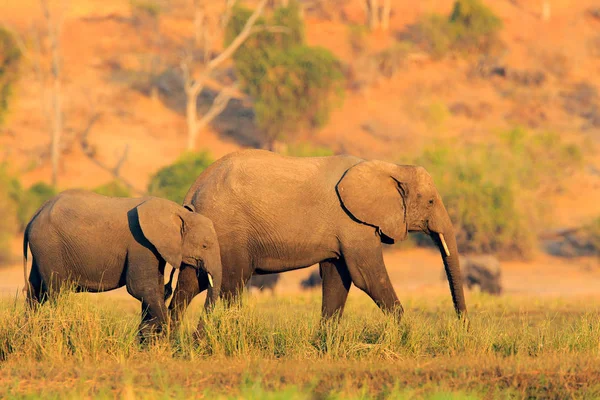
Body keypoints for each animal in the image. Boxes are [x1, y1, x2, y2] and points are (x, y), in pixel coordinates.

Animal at [22, 190, 223, 338]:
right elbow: (141, 288)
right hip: (50, 247)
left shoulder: (154, 248)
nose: (195, 336)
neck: (177, 212)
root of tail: (33, 217)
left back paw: (28, 332)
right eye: (205, 245)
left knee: (36, 291)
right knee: (57, 291)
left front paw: (148, 337)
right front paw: (161, 335)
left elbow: (155, 288)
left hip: (43, 251)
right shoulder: (140, 244)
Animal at [169, 148, 468, 326]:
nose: (462, 324)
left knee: (192, 283)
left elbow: (339, 278)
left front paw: (325, 342)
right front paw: (408, 332)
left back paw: (172, 341)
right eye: (430, 201)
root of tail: (195, 187)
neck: (390, 166)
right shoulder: (353, 222)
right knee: (231, 282)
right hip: (228, 230)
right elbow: (367, 276)